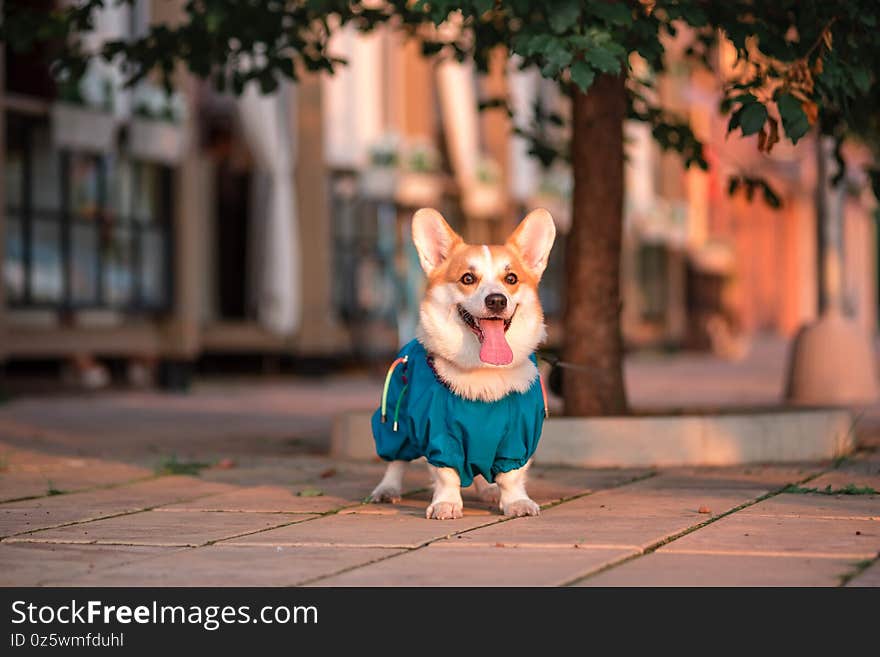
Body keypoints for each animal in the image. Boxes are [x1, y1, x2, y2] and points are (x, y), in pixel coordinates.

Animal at [368, 208, 552, 520]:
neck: (482, 370)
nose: (496, 300)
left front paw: (516, 502)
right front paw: (446, 504)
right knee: (396, 460)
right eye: (467, 278)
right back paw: (387, 489)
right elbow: (447, 475)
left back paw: (489, 490)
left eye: (511, 278)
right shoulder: (438, 433)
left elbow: (512, 476)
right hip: (395, 419)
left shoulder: (519, 435)